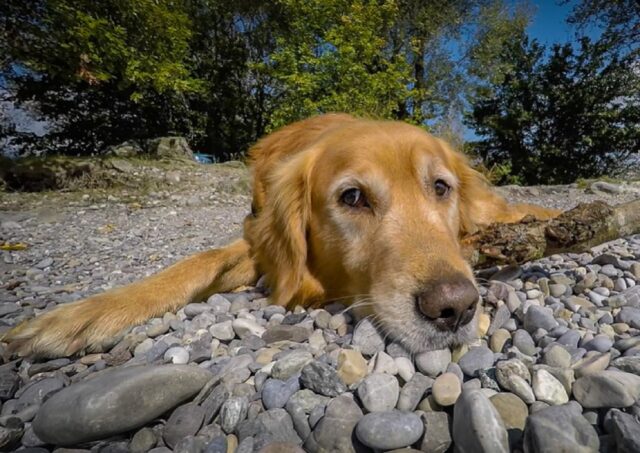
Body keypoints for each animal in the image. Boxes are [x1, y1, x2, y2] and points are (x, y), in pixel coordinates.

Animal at [2, 113, 556, 356]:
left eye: (439, 188)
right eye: (352, 198)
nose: (456, 308)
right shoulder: (256, 239)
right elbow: (198, 260)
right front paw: (82, 314)